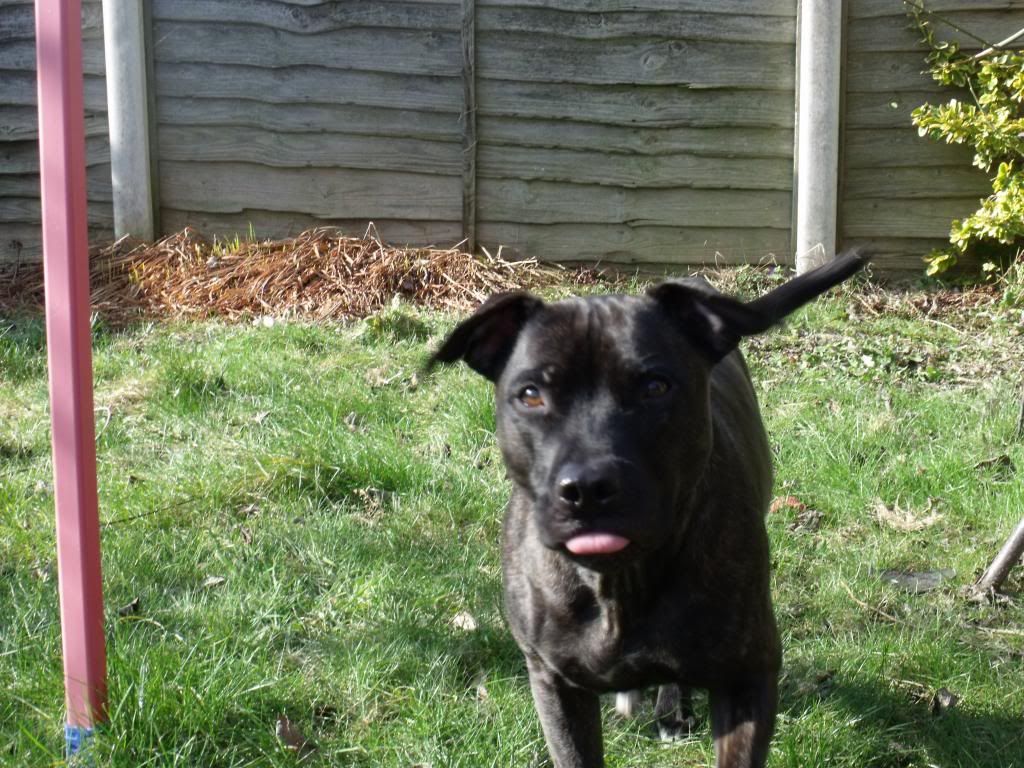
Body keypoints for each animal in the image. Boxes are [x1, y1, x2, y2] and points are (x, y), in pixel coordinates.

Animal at [428, 253, 868, 768]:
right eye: (531, 394)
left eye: (656, 387)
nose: (587, 487)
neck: (620, 584)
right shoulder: (554, 684)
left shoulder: (747, 675)